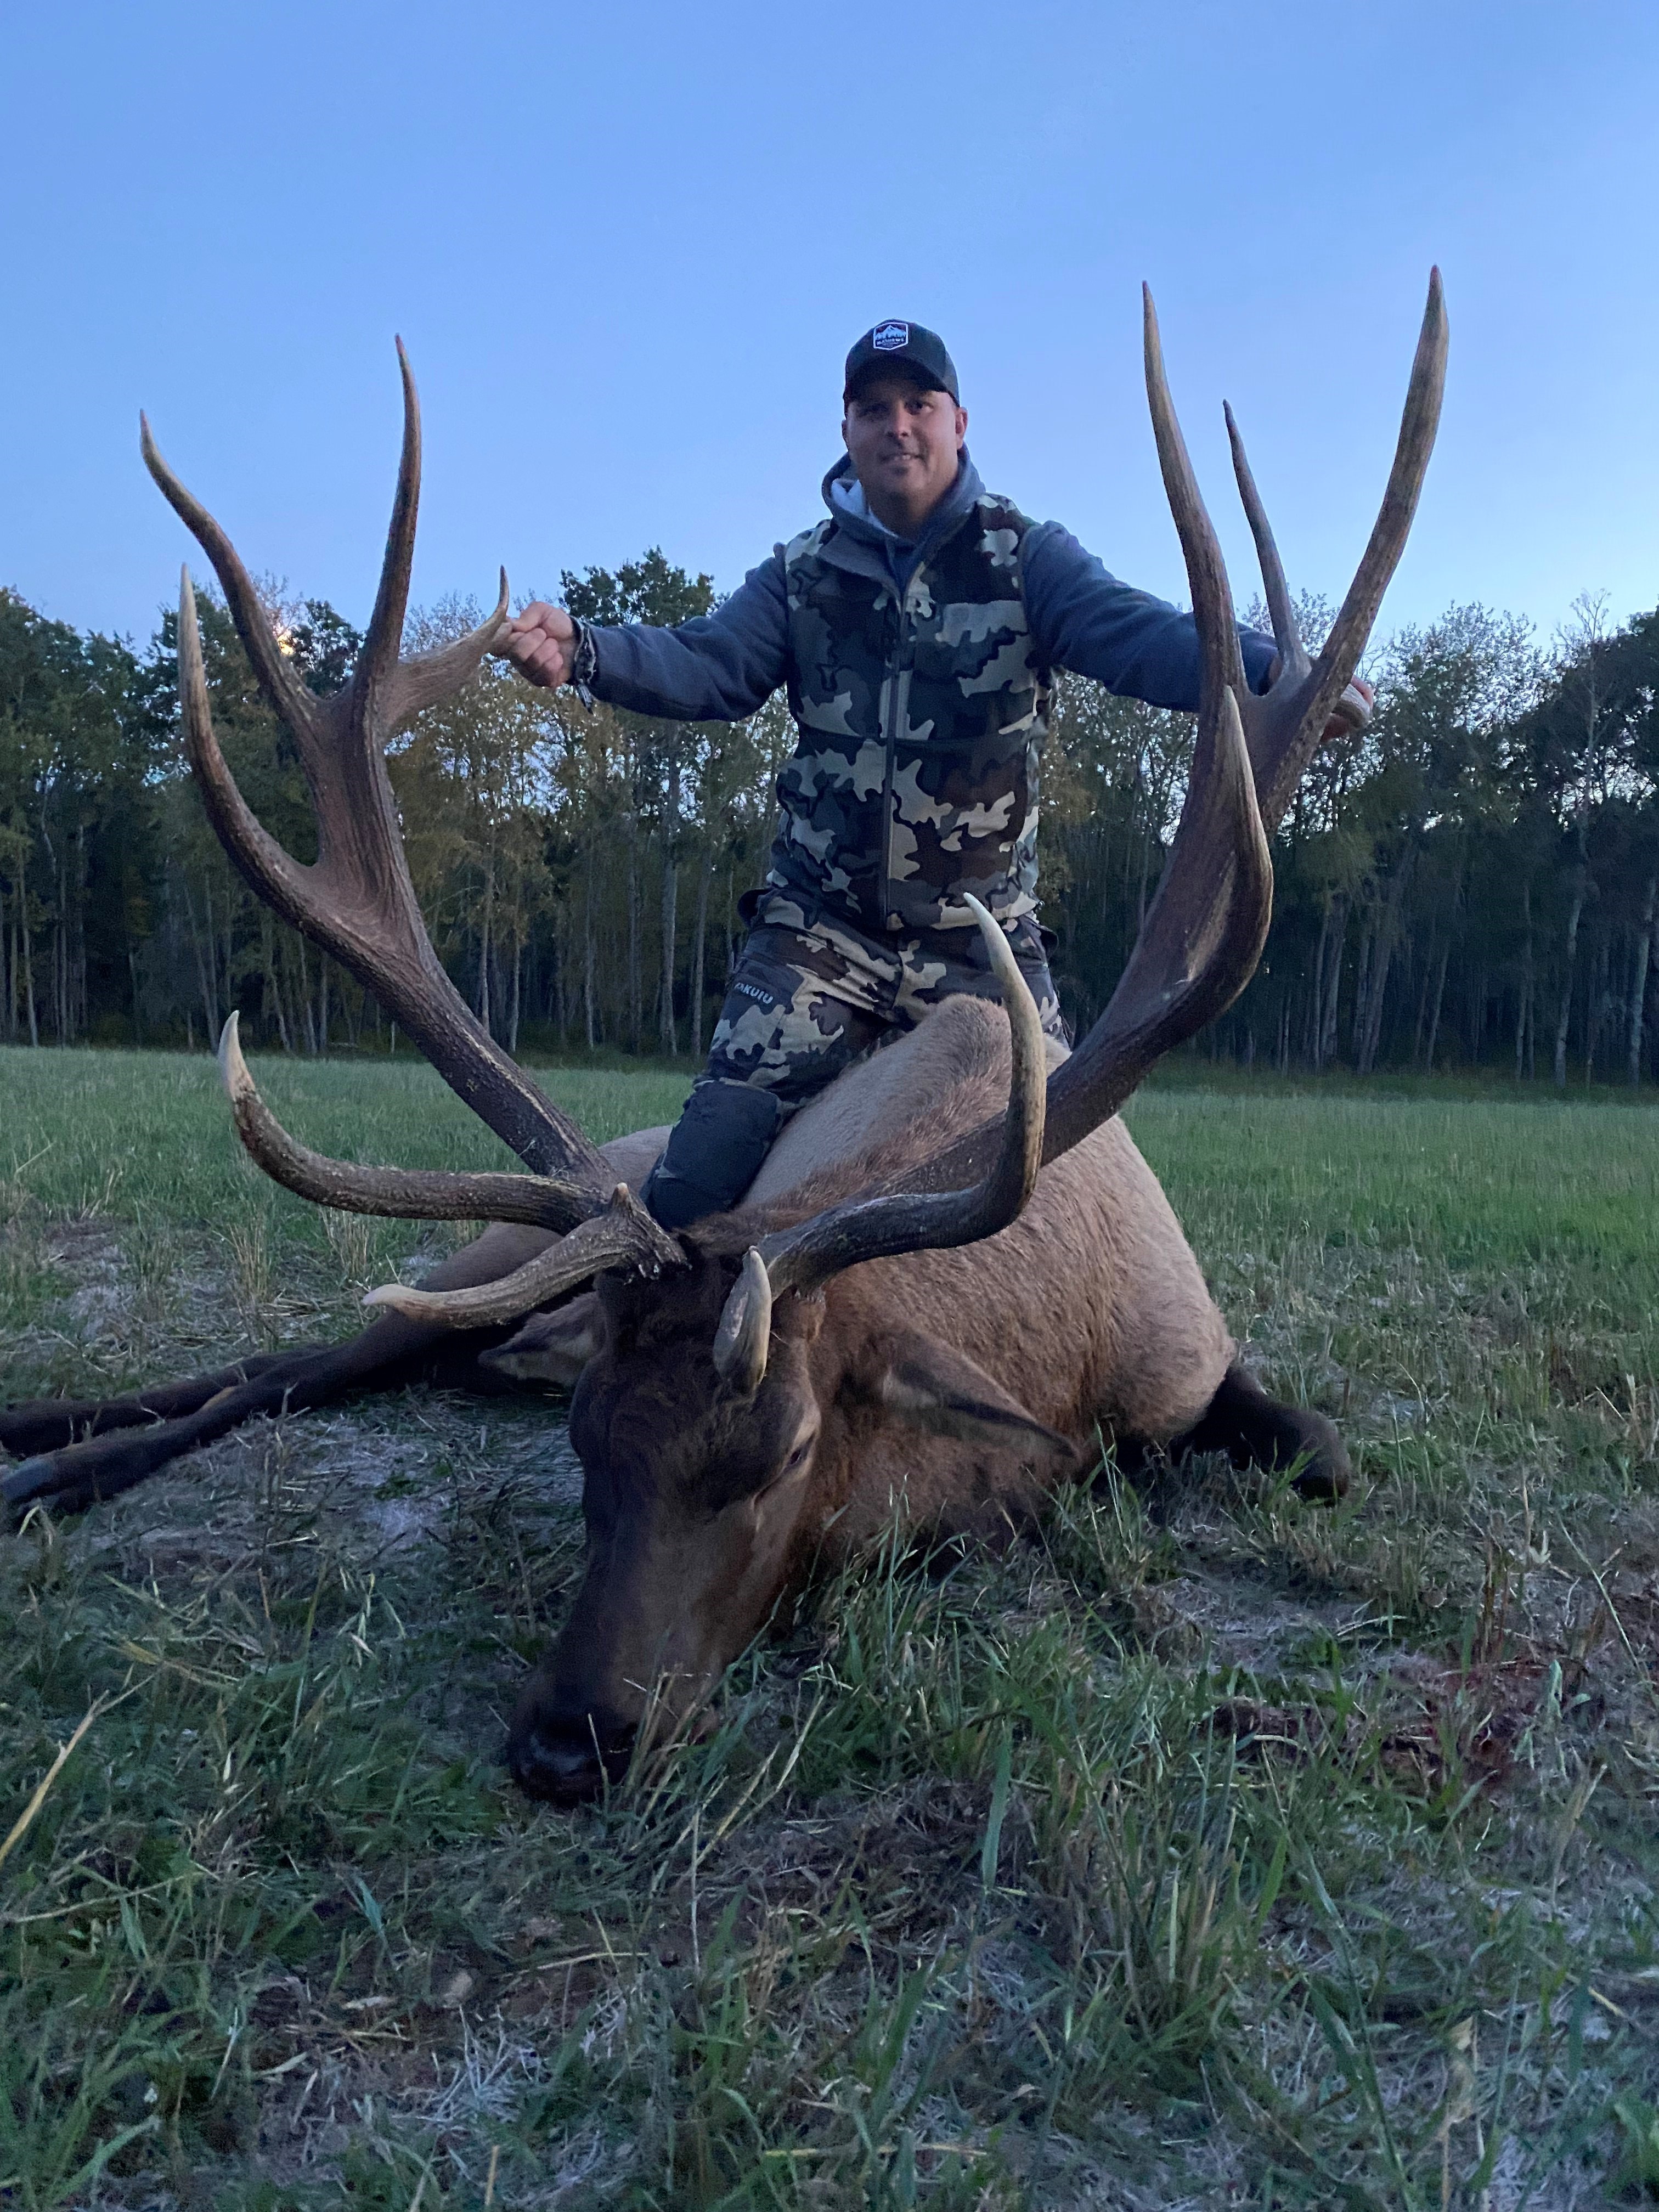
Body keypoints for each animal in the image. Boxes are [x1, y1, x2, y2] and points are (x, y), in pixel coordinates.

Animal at [1, 278, 1447, 1802]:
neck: (1062, 1334)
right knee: (292, 1367)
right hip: (490, 1260)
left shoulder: (1189, 1359)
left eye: (783, 1449)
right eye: (589, 1443)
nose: (570, 1739)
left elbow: (1319, 1453)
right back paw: (43, 1463)